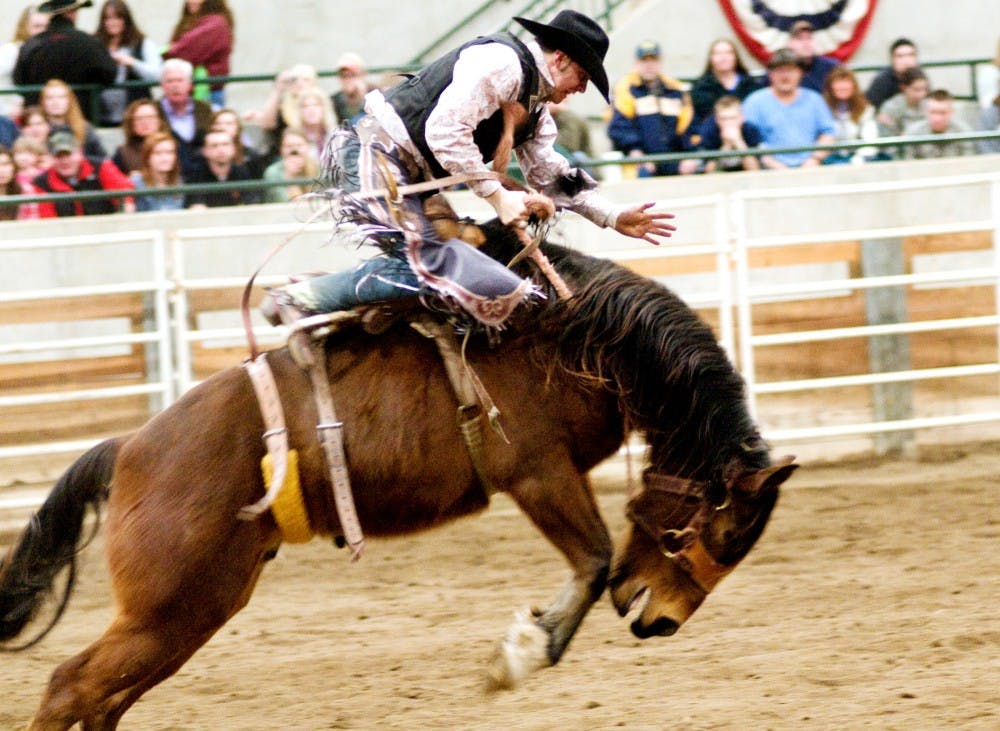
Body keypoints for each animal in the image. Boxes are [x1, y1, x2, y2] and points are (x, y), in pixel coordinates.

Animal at [0, 224, 796, 731]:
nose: (663, 622)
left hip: (193, 609)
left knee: (100, 699)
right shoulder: (537, 473)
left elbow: (595, 563)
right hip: (169, 605)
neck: (585, 338)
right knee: (71, 687)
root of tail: (131, 444)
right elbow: (595, 559)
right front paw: (521, 654)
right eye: (713, 533)